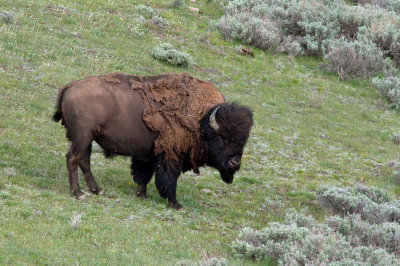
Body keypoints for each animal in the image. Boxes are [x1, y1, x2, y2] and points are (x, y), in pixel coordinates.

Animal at [53, 72, 253, 210]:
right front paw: (176, 205)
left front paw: (141, 195)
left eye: (243, 141)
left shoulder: (149, 155)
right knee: (73, 159)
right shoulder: (171, 157)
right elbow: (169, 180)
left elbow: (145, 175)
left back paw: (98, 190)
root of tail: (70, 86)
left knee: (84, 161)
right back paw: (79, 193)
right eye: (221, 137)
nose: (235, 163)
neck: (200, 120)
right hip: (83, 137)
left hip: (87, 140)